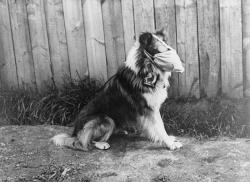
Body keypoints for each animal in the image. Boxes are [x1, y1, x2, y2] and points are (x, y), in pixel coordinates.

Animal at [51, 29, 184, 151]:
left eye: (165, 42)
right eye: (160, 46)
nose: (172, 51)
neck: (145, 71)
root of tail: (74, 134)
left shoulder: (151, 109)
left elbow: (156, 127)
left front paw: (167, 139)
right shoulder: (148, 109)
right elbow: (160, 127)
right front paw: (170, 144)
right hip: (107, 120)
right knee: (84, 142)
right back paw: (101, 144)